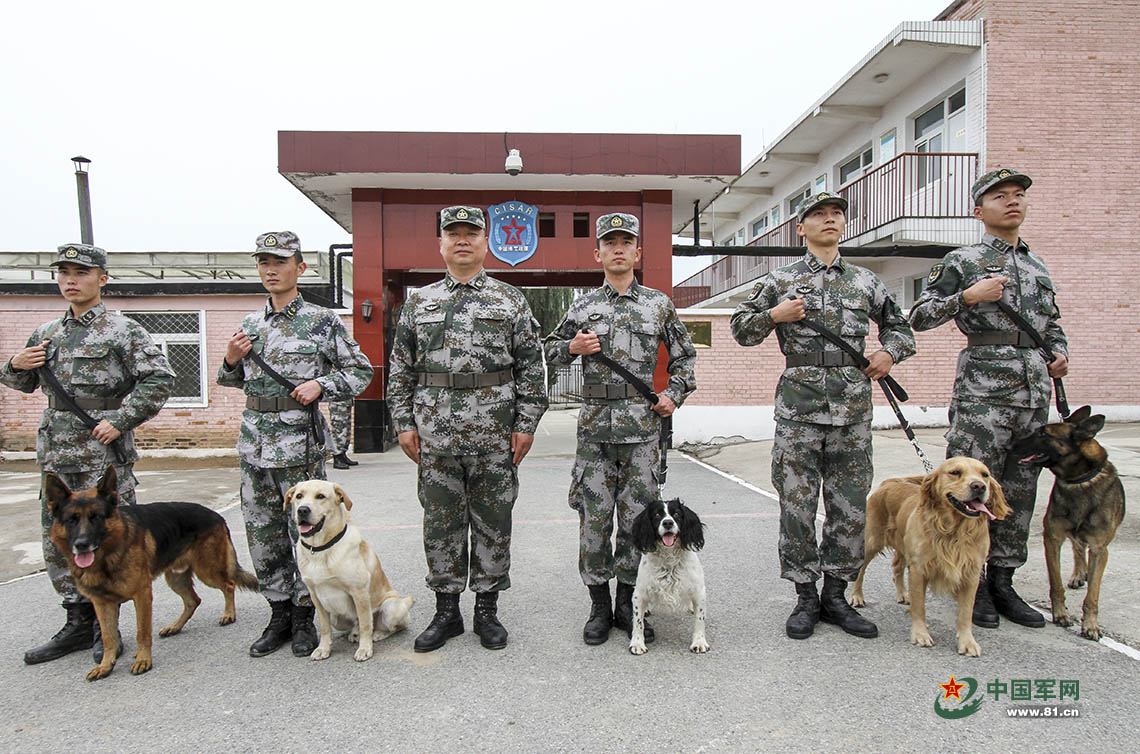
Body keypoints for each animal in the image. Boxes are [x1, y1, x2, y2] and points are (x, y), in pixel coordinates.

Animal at [46, 460, 258, 679]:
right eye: (71, 520)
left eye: (96, 517)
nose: (82, 544)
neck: (108, 555)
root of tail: (216, 515)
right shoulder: (101, 602)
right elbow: (108, 637)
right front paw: (105, 665)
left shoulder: (142, 595)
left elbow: (142, 632)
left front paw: (143, 660)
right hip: (176, 577)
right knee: (193, 600)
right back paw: (175, 627)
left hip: (207, 570)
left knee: (228, 585)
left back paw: (228, 614)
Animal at [285, 479, 414, 661]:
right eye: (299, 496)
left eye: (320, 496)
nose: (302, 510)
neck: (321, 549)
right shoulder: (316, 597)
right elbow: (325, 628)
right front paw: (323, 648)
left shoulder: (359, 592)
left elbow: (366, 624)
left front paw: (365, 648)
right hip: (335, 616)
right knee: (355, 624)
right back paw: (354, 633)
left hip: (391, 608)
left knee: (390, 627)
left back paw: (378, 634)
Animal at [852, 456, 1012, 657]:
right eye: (955, 472)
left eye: (985, 474)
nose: (979, 486)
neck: (954, 531)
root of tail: (890, 482)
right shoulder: (919, 569)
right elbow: (920, 606)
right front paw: (920, 634)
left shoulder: (971, 574)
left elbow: (965, 612)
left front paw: (967, 642)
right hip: (871, 541)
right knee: (860, 571)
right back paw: (856, 596)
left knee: (897, 567)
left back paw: (903, 593)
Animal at [1012, 408, 1126, 638]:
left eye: (1043, 434)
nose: (1012, 445)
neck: (1079, 481)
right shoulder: (1053, 538)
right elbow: (1056, 584)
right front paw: (1061, 614)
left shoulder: (1100, 549)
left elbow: (1093, 594)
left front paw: (1091, 625)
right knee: (1078, 546)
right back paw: (1078, 574)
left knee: (1080, 546)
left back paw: (1081, 574)